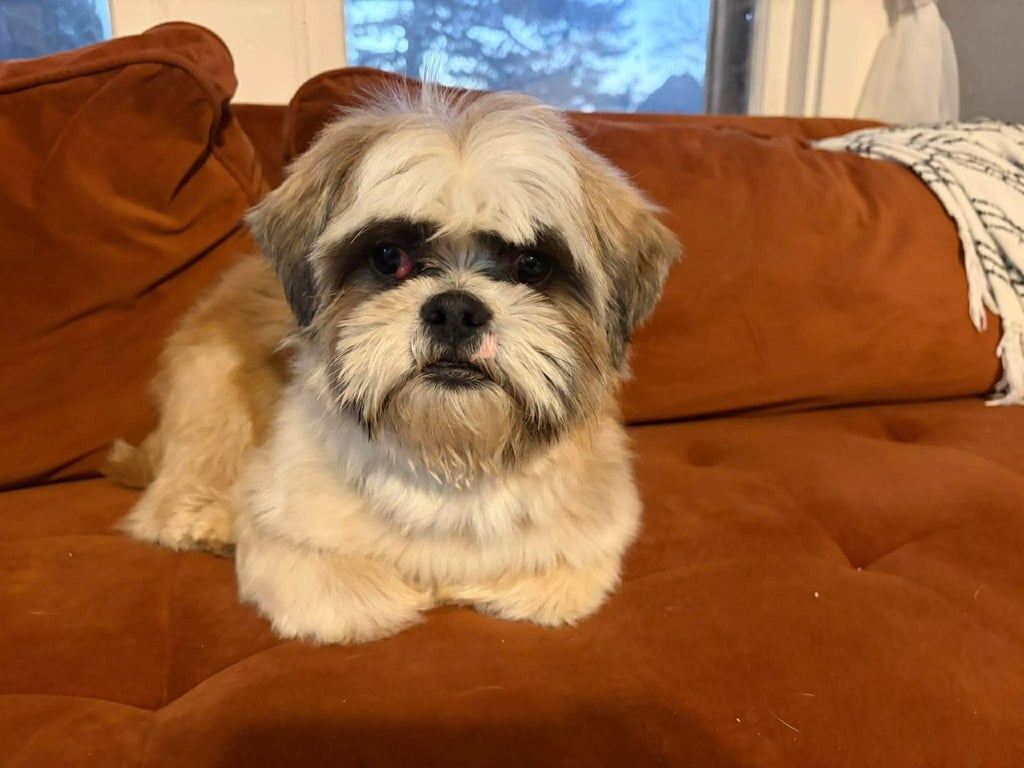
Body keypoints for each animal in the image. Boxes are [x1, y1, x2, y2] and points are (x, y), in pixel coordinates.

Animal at [105, 86, 681, 644]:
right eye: (388, 257)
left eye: (531, 263)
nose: (456, 309)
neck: (447, 456)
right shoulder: (288, 542)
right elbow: (351, 594)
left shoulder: (571, 556)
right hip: (209, 397)